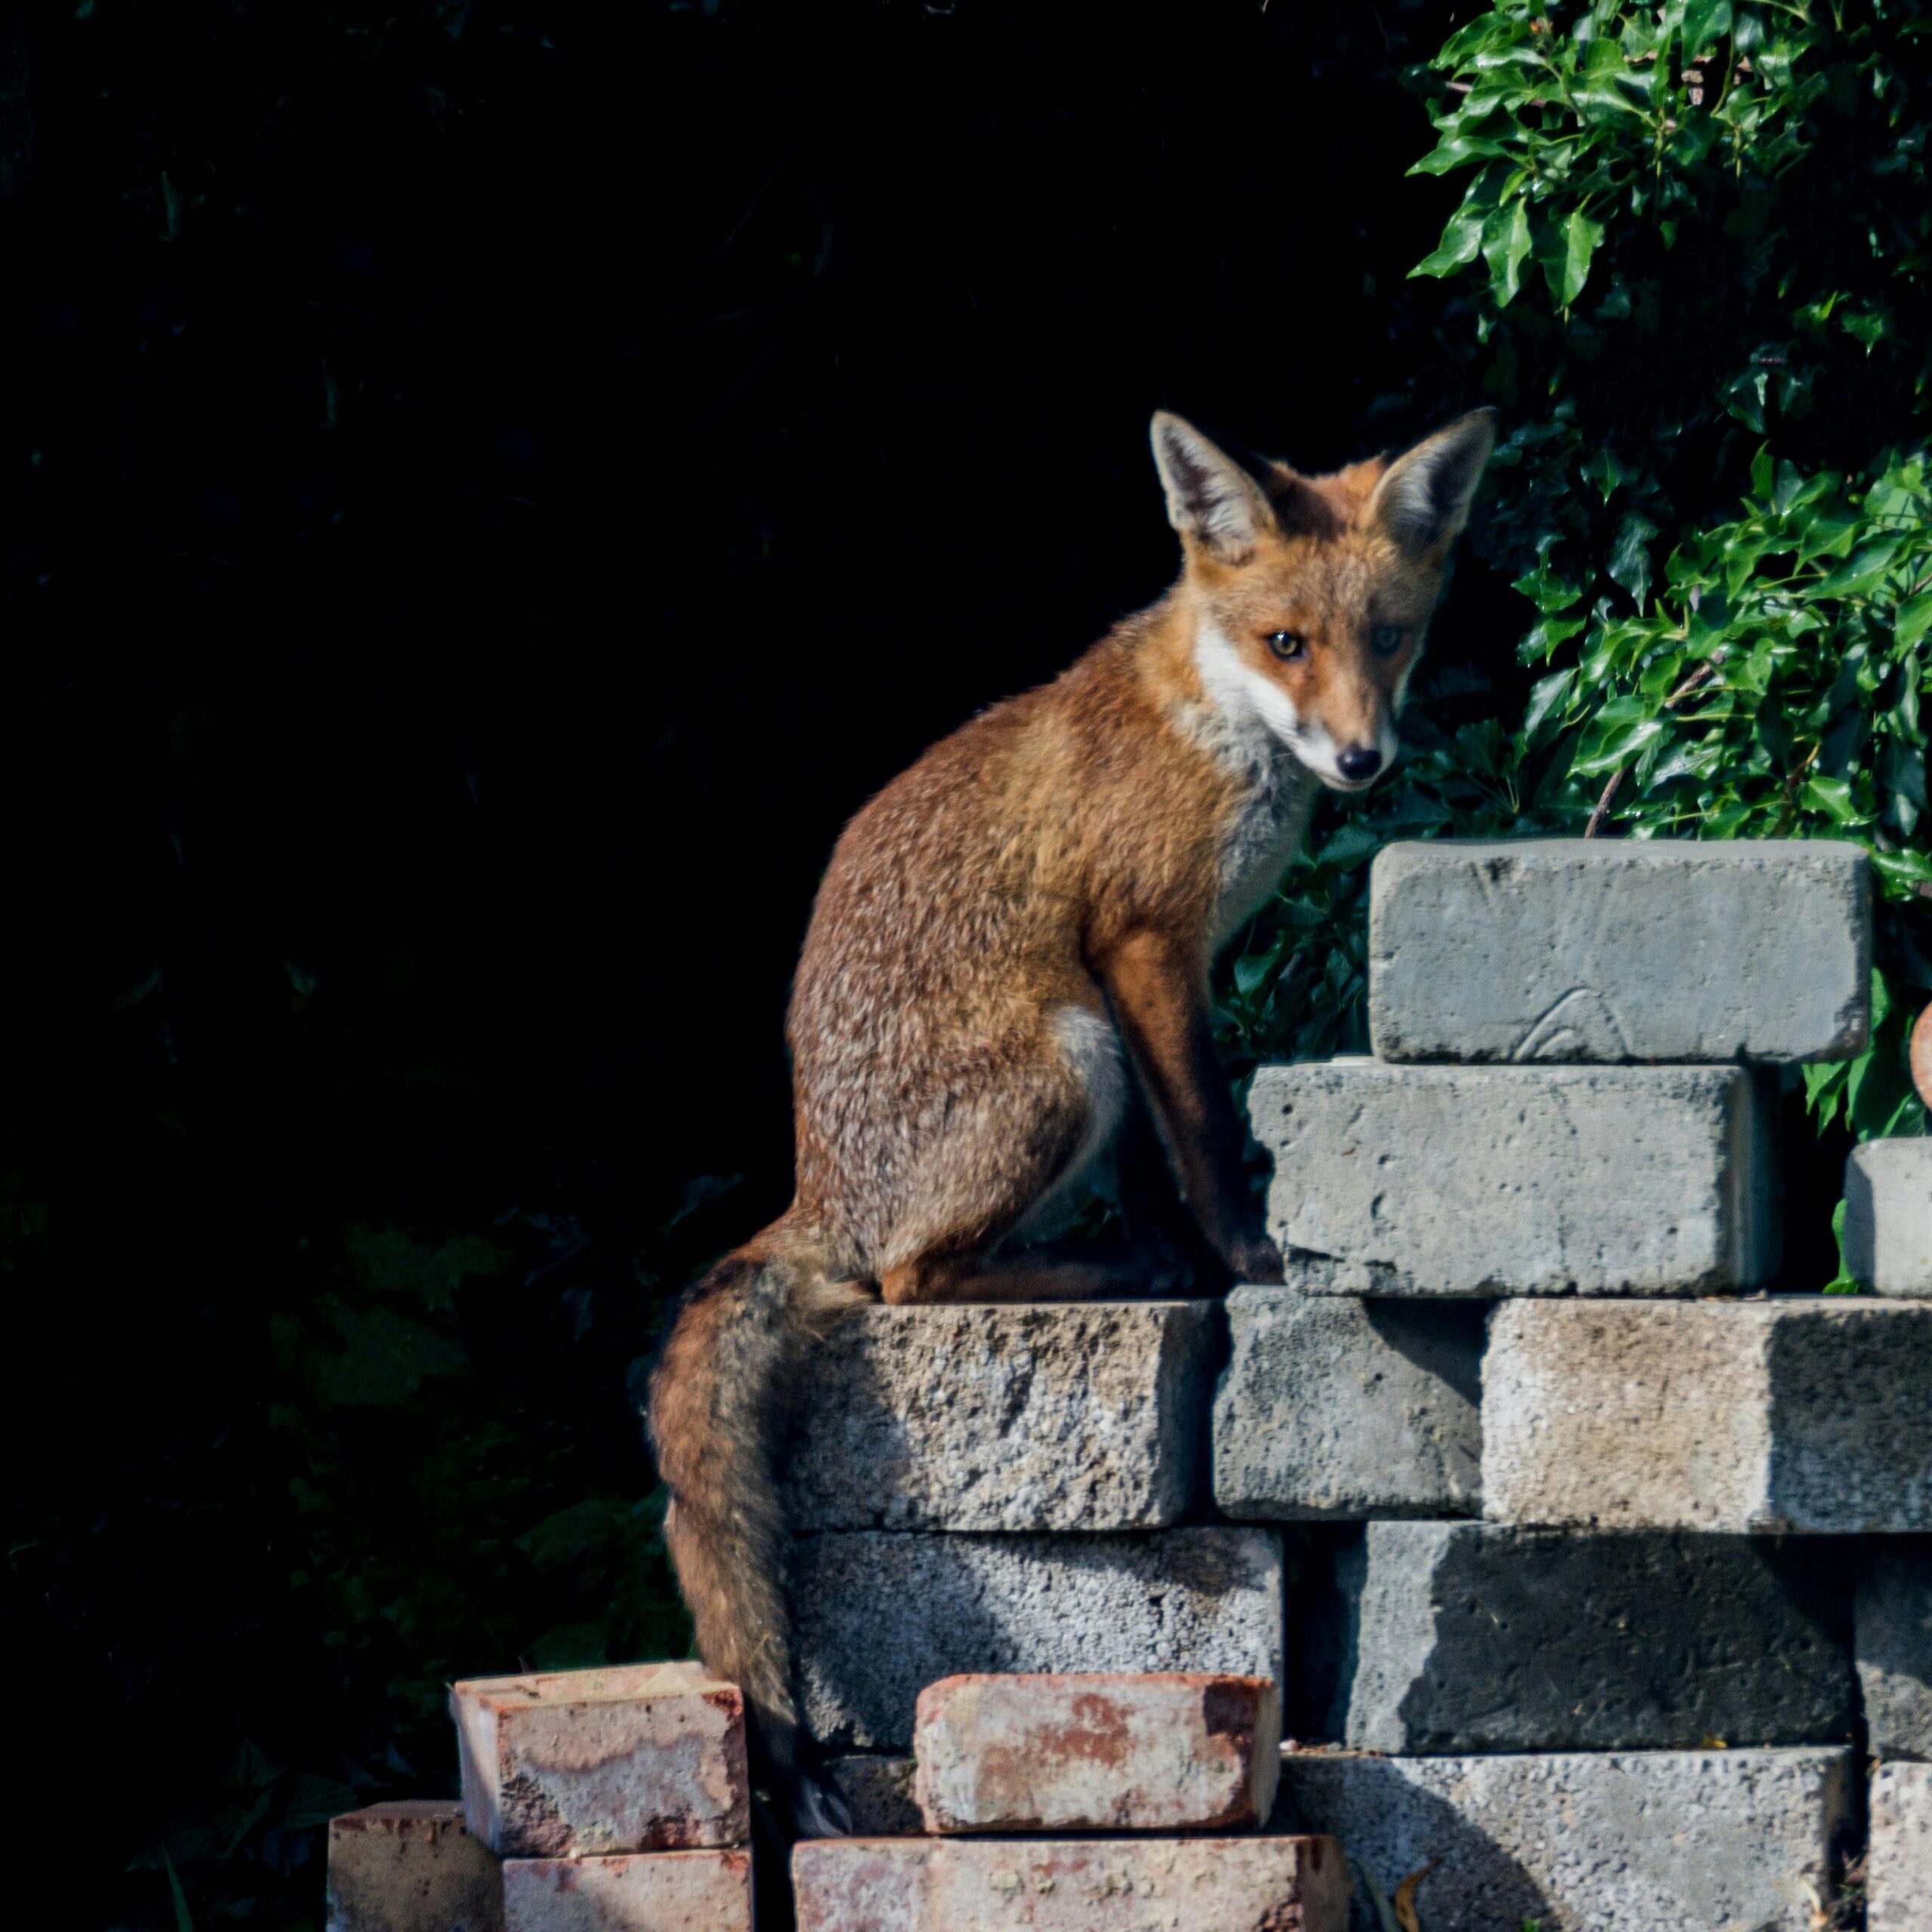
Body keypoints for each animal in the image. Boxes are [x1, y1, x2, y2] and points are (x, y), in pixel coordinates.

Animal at [647, 405, 1495, 1833]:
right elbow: (1204, 1135)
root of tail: (818, 1188)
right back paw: (1104, 1272)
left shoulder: (1155, 975)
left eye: (1387, 636)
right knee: (906, 1281)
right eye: (1287, 644)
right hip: (1070, 1057)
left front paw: (1188, 1256)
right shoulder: (1145, 949)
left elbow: (1161, 1164)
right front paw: (1248, 1260)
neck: (1216, 726)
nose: (1362, 758)